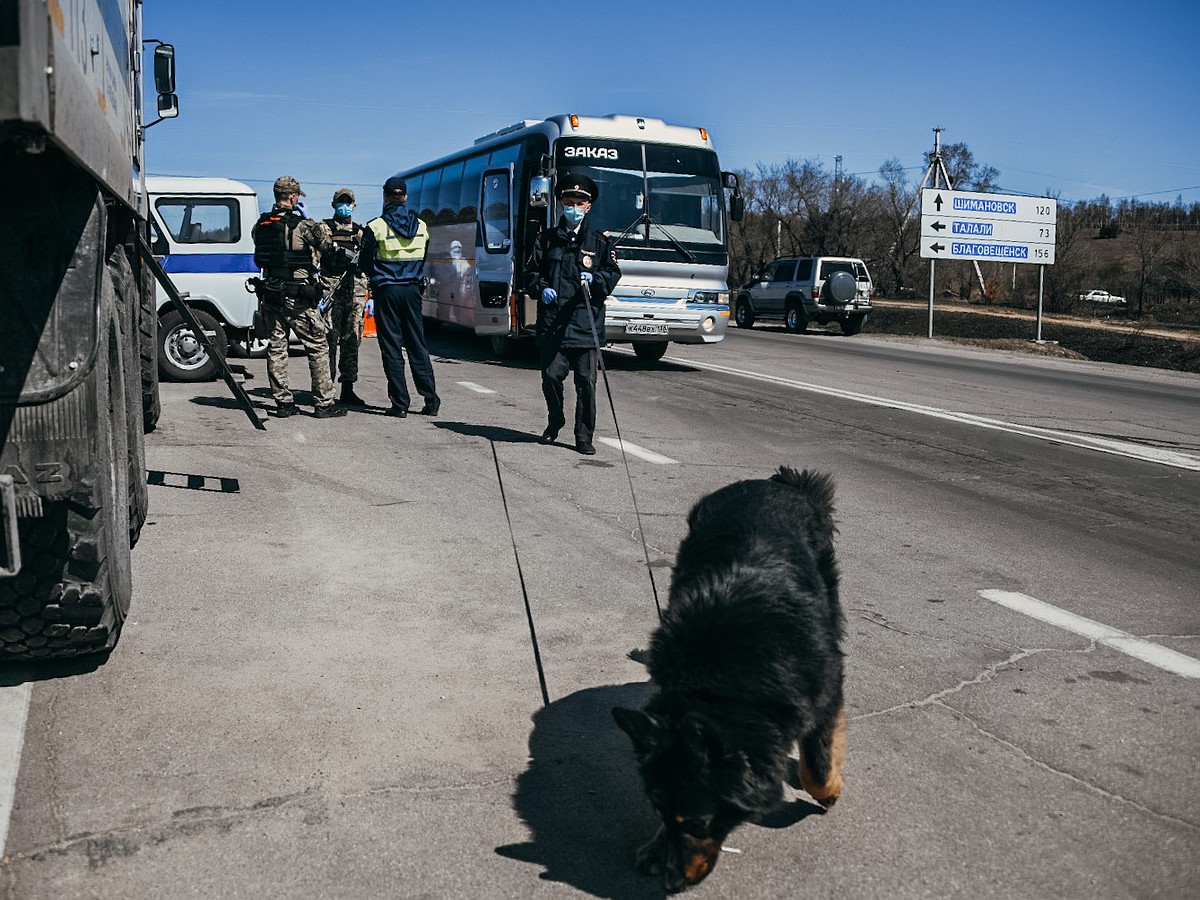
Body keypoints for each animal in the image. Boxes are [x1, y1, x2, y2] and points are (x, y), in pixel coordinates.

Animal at [614, 468, 849, 892]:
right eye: (658, 810)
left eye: (697, 822)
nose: (673, 882)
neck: (723, 685)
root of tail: (776, 484)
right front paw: (657, 848)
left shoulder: (824, 687)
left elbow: (818, 762)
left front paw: (828, 790)